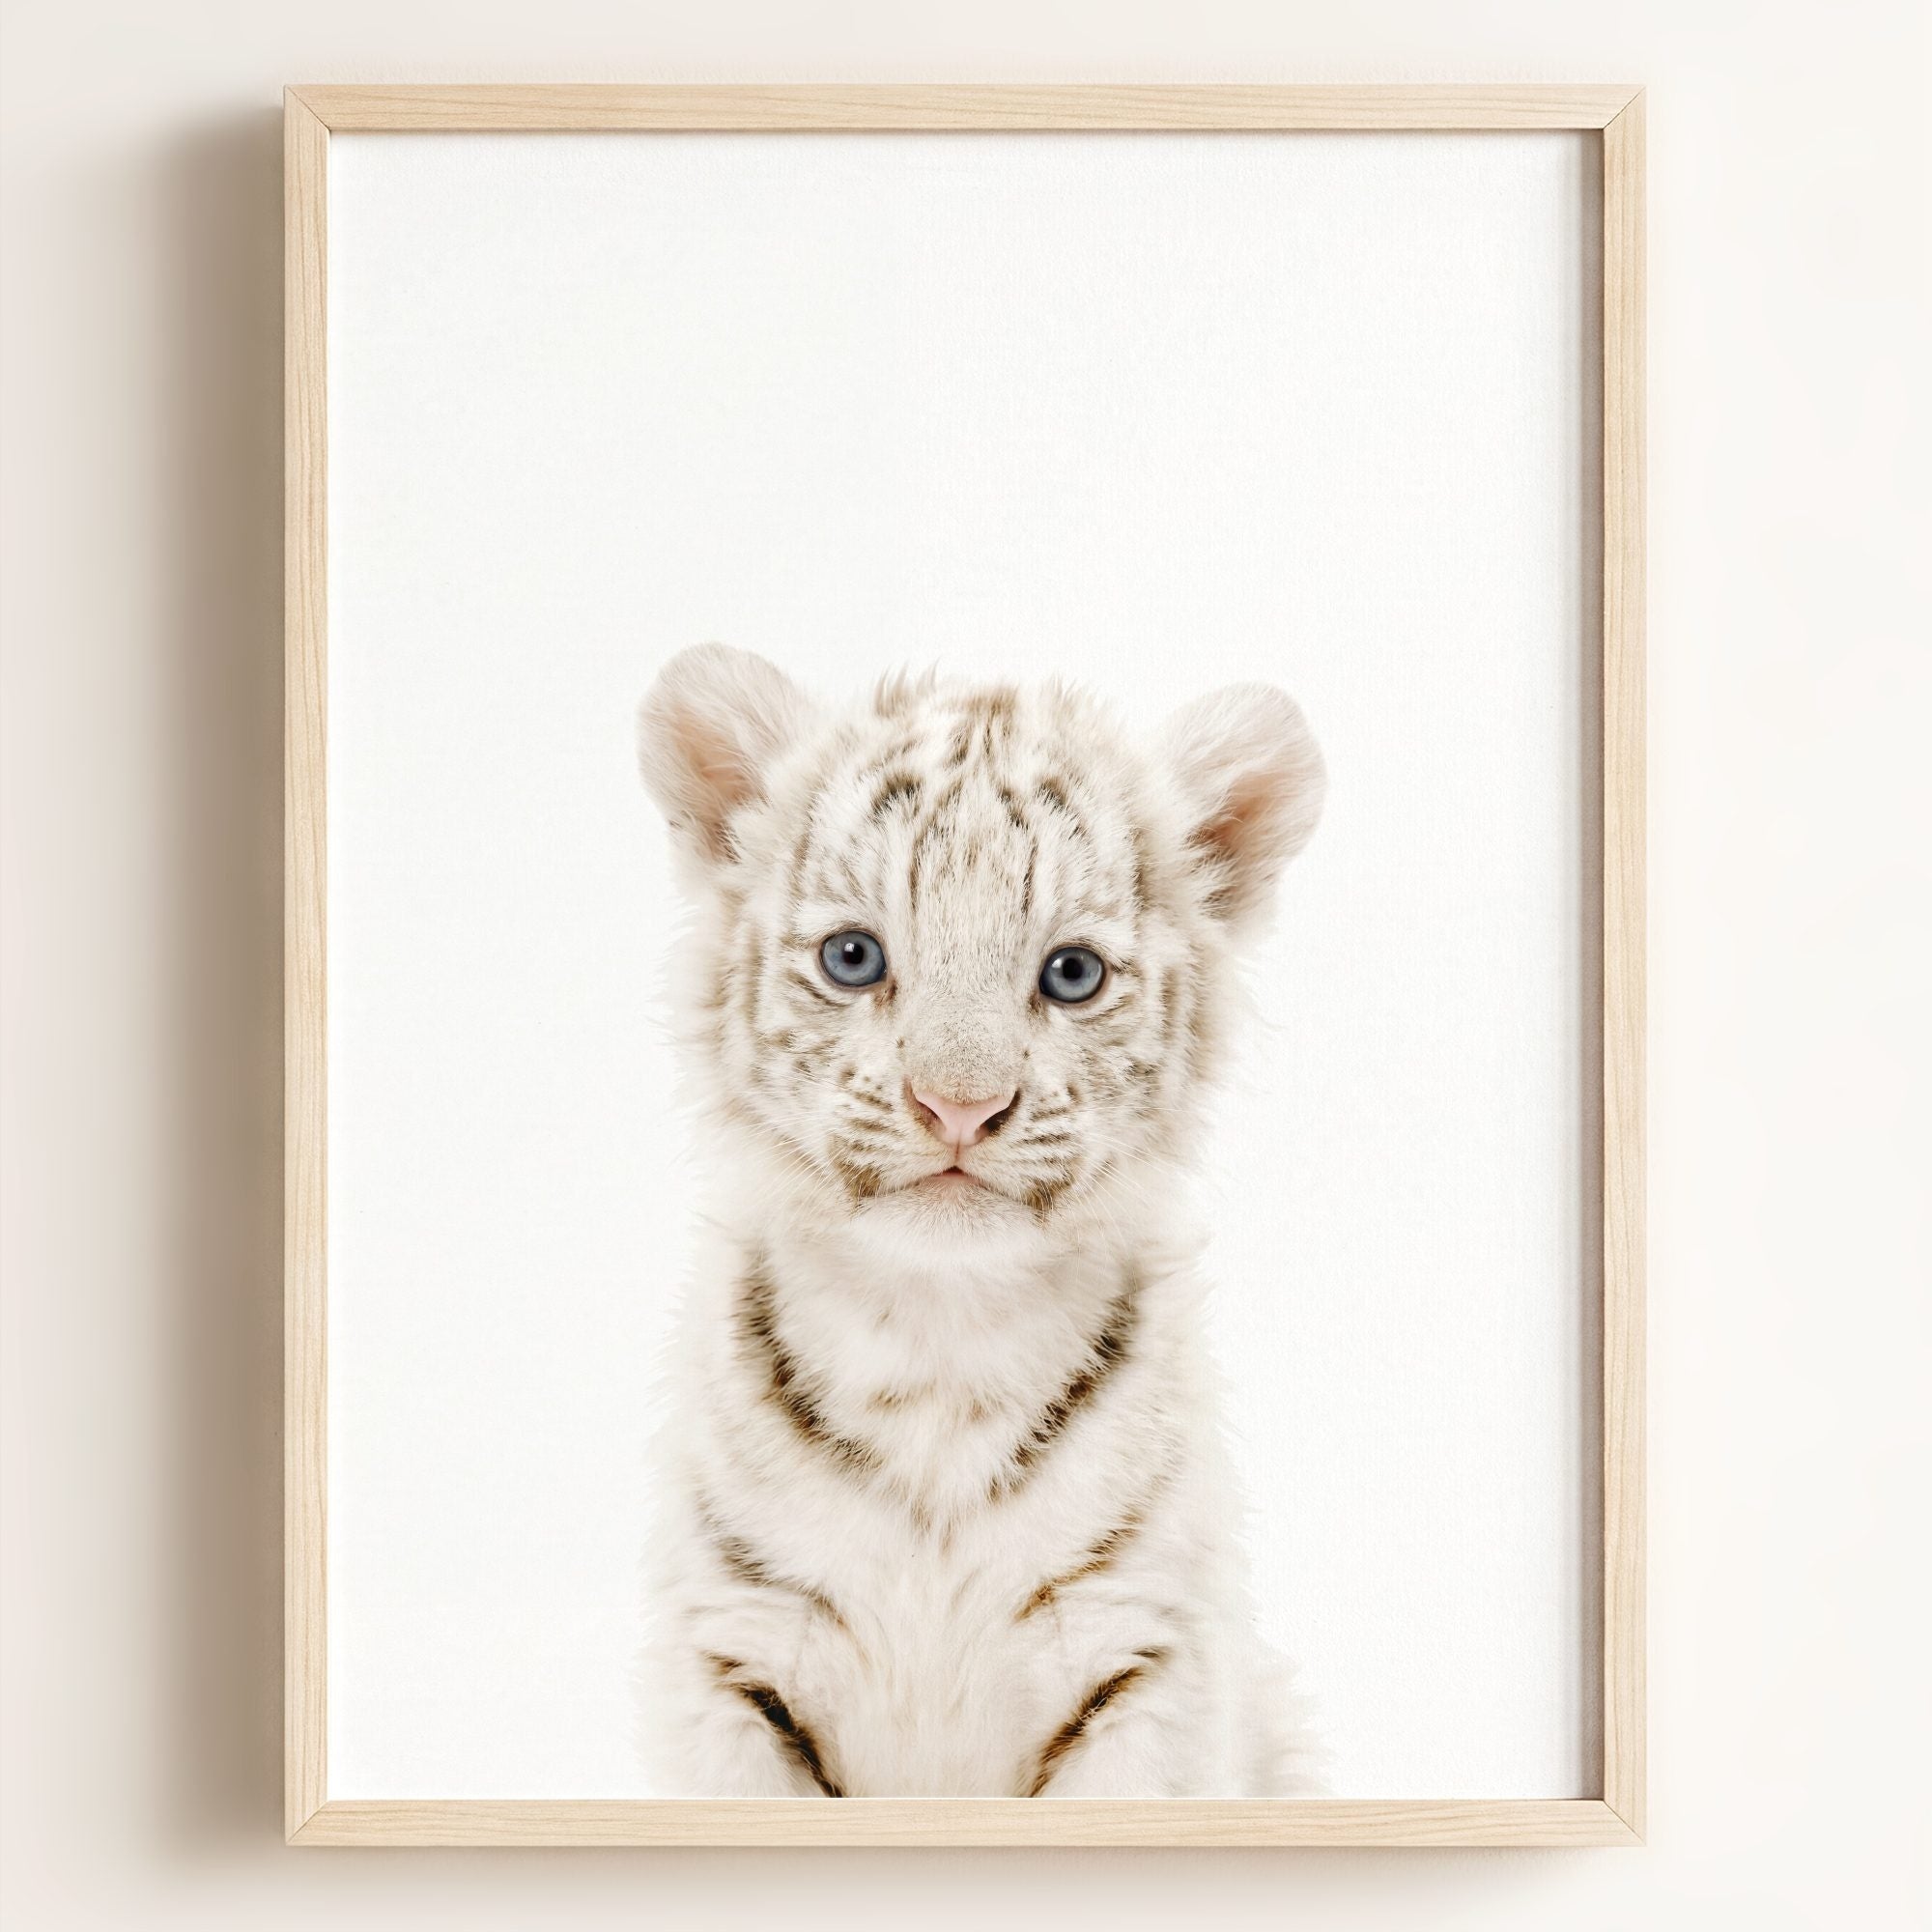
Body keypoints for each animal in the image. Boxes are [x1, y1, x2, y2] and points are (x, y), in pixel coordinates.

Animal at [634, 642, 1327, 1797]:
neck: (937, 1341)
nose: (958, 1106)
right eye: (853, 958)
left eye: (1071, 973)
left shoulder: (1143, 1658)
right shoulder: (732, 1655)